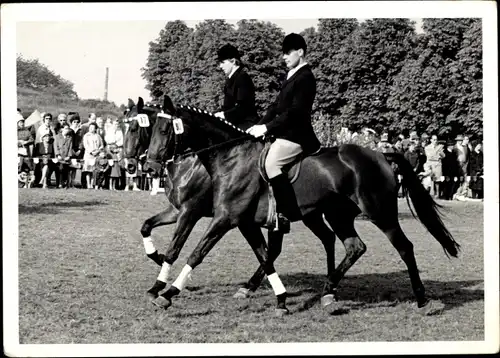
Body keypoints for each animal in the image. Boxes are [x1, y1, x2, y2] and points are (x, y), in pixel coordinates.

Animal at [122, 97, 270, 300]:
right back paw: (250, 286)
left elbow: (174, 248)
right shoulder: (176, 210)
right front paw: (158, 258)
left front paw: (160, 283)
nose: (129, 166)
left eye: (135, 128)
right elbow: (146, 226)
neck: (186, 163)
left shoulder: (190, 211)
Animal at [145, 94, 460, 316]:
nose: (149, 166)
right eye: (151, 129)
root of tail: (382, 155)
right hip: (335, 215)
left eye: (165, 130)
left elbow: (193, 252)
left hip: (380, 213)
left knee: (404, 247)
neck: (231, 157)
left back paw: (421, 299)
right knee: (352, 246)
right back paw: (329, 292)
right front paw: (280, 299)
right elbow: (265, 257)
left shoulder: (218, 217)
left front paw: (166, 293)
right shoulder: (242, 222)